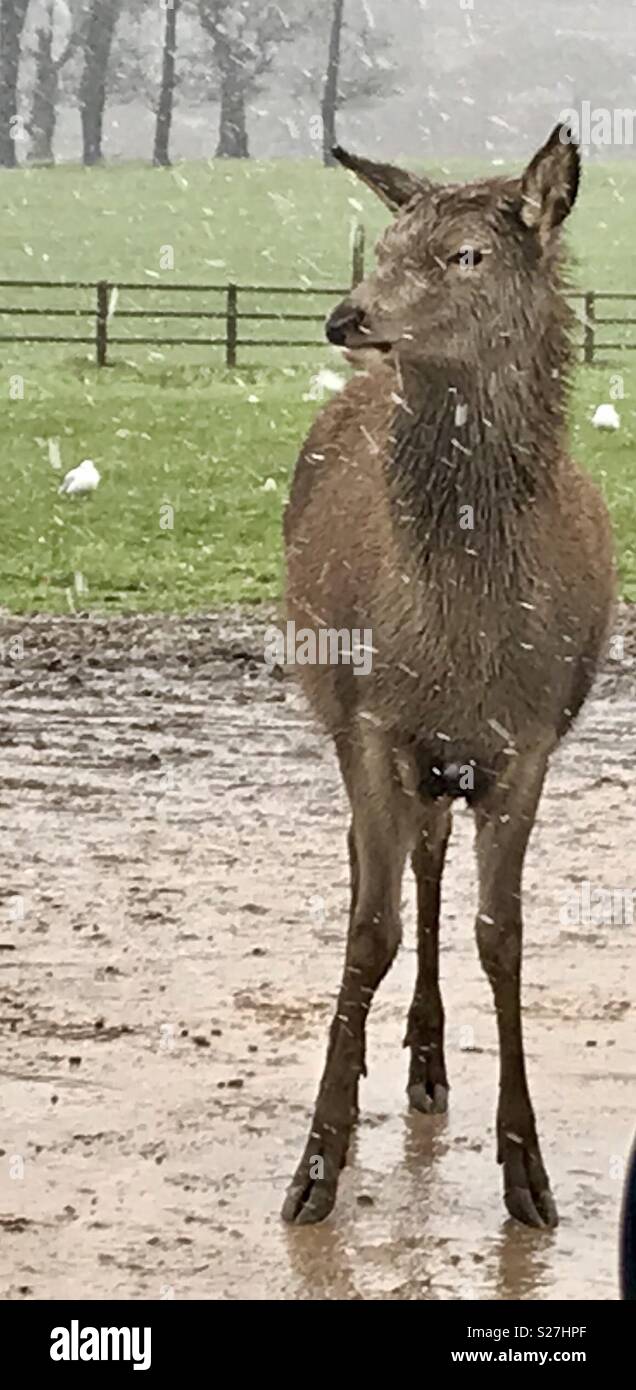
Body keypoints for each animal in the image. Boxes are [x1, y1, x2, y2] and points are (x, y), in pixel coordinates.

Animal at [281, 127, 616, 1228]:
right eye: (388, 242)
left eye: (467, 254)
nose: (348, 316)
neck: (464, 647)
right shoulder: (374, 724)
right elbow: (367, 930)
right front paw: (315, 1166)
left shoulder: (532, 739)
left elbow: (501, 936)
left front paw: (529, 1174)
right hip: (350, 725)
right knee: (379, 868)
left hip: (447, 760)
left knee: (430, 862)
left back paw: (429, 1061)